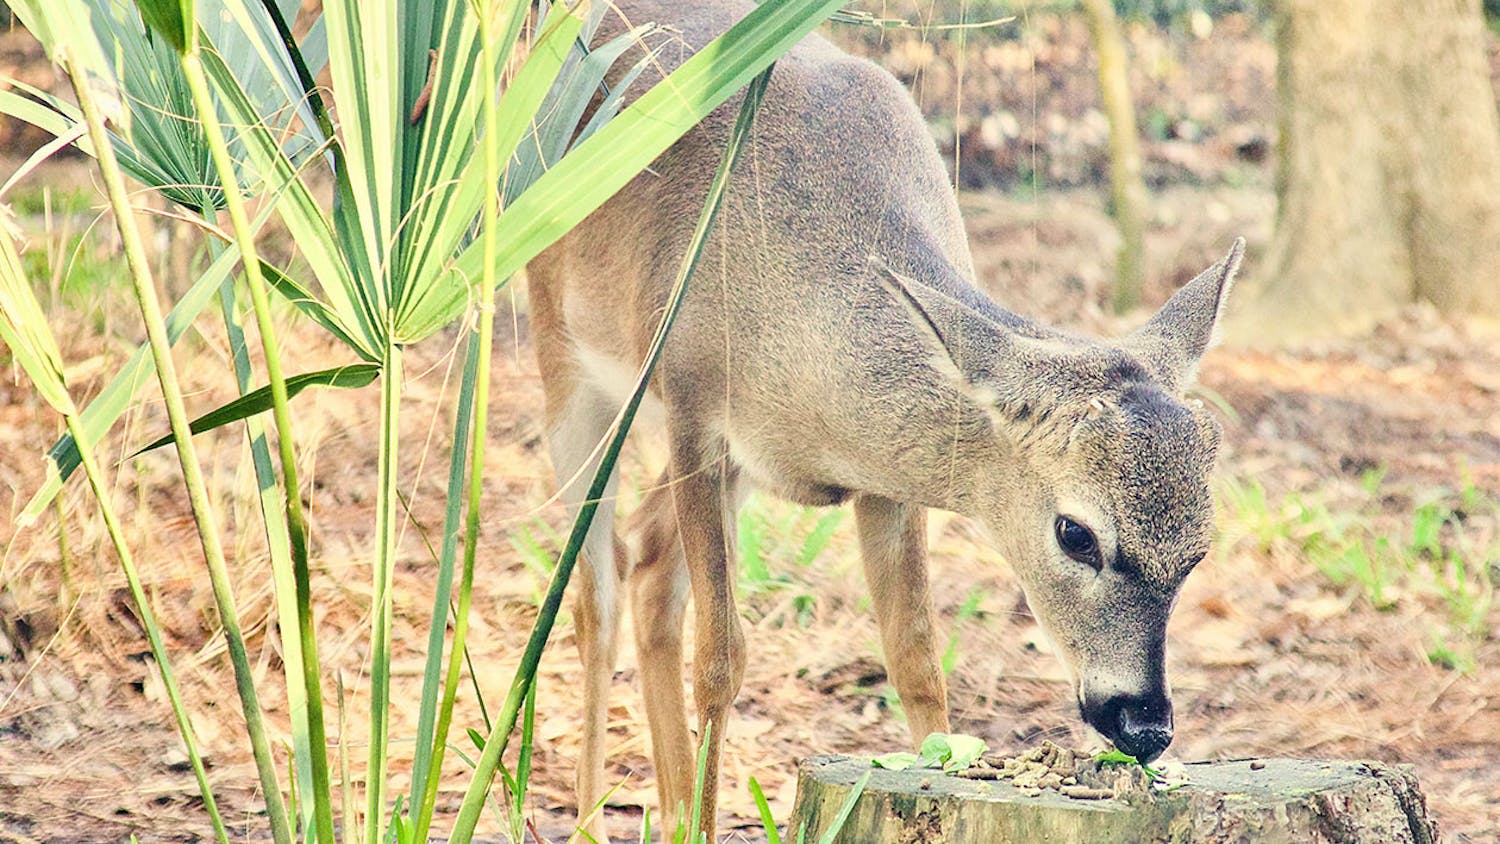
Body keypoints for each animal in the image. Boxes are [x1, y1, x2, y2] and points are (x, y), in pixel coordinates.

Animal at [525, 1, 1243, 841]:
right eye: (1076, 533)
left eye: (1199, 551)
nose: (1145, 724)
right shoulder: (695, 406)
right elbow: (722, 659)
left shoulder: (882, 478)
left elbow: (916, 658)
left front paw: (943, 762)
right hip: (562, 348)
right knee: (593, 593)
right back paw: (585, 815)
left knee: (646, 561)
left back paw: (668, 812)